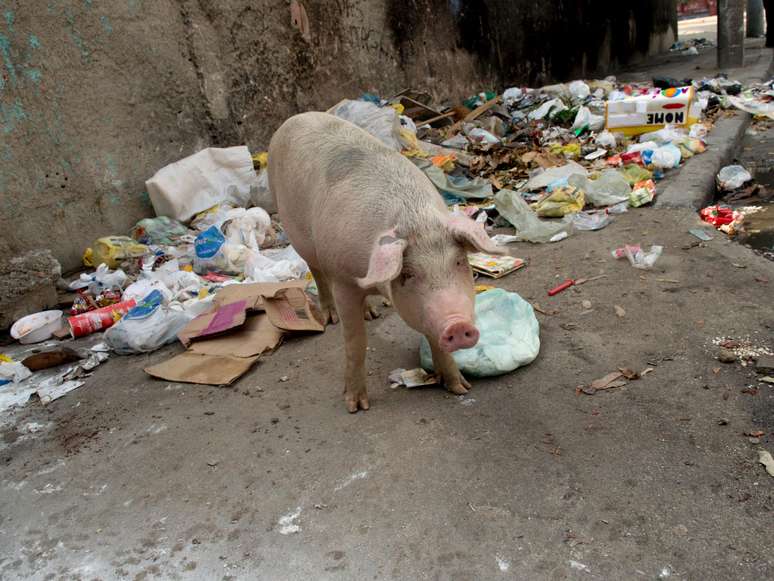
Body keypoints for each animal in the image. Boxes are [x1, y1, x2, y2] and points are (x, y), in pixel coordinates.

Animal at [270, 112, 506, 412]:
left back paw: (371, 313)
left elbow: (434, 337)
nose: (458, 325)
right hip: (296, 233)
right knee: (316, 271)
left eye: (459, 263)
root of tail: (295, 118)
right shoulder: (344, 281)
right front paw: (356, 406)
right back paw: (330, 317)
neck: (416, 221)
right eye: (409, 274)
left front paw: (461, 388)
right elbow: (356, 342)